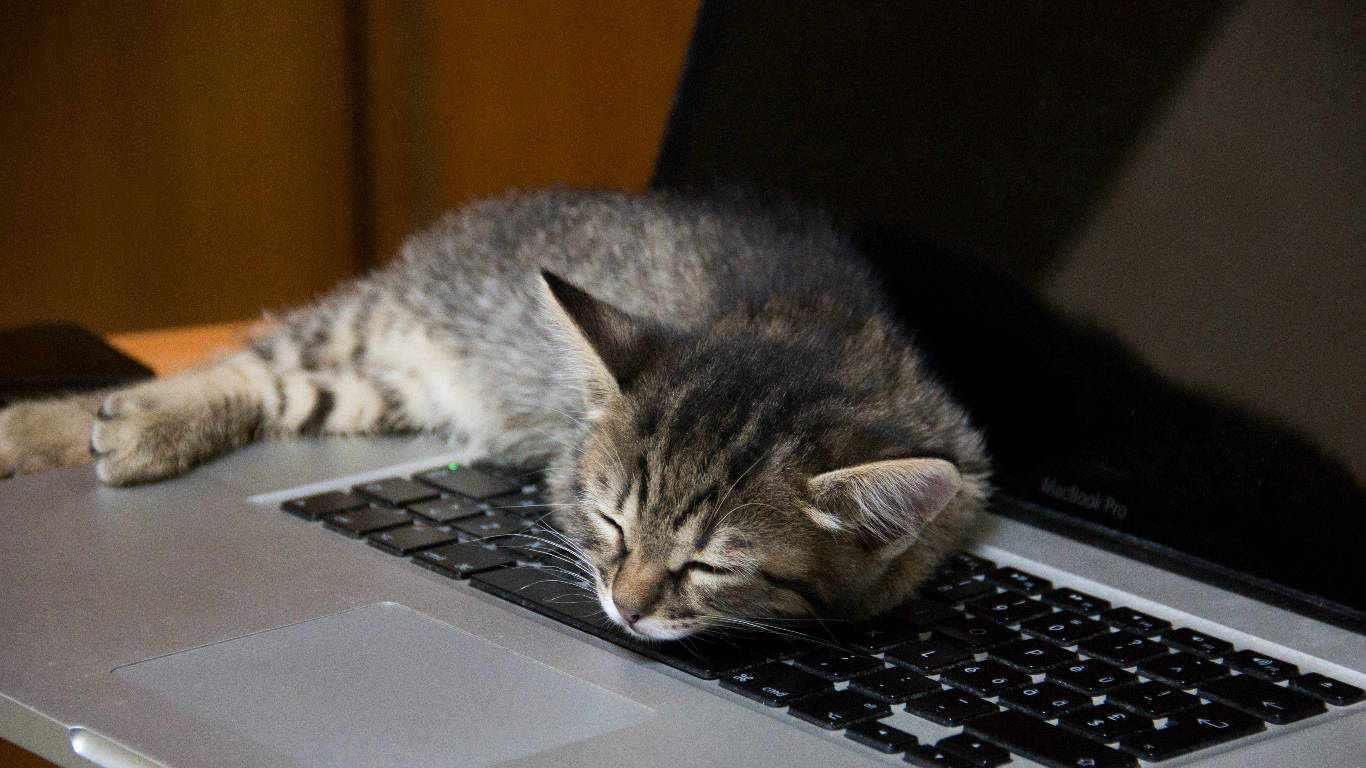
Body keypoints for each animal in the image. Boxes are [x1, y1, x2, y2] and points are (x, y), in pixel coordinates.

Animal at [0, 188, 994, 636]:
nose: (624, 610)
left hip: (386, 385)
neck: (809, 336)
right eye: (612, 525)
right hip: (379, 321)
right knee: (250, 358)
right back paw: (74, 424)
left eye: (709, 566)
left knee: (278, 386)